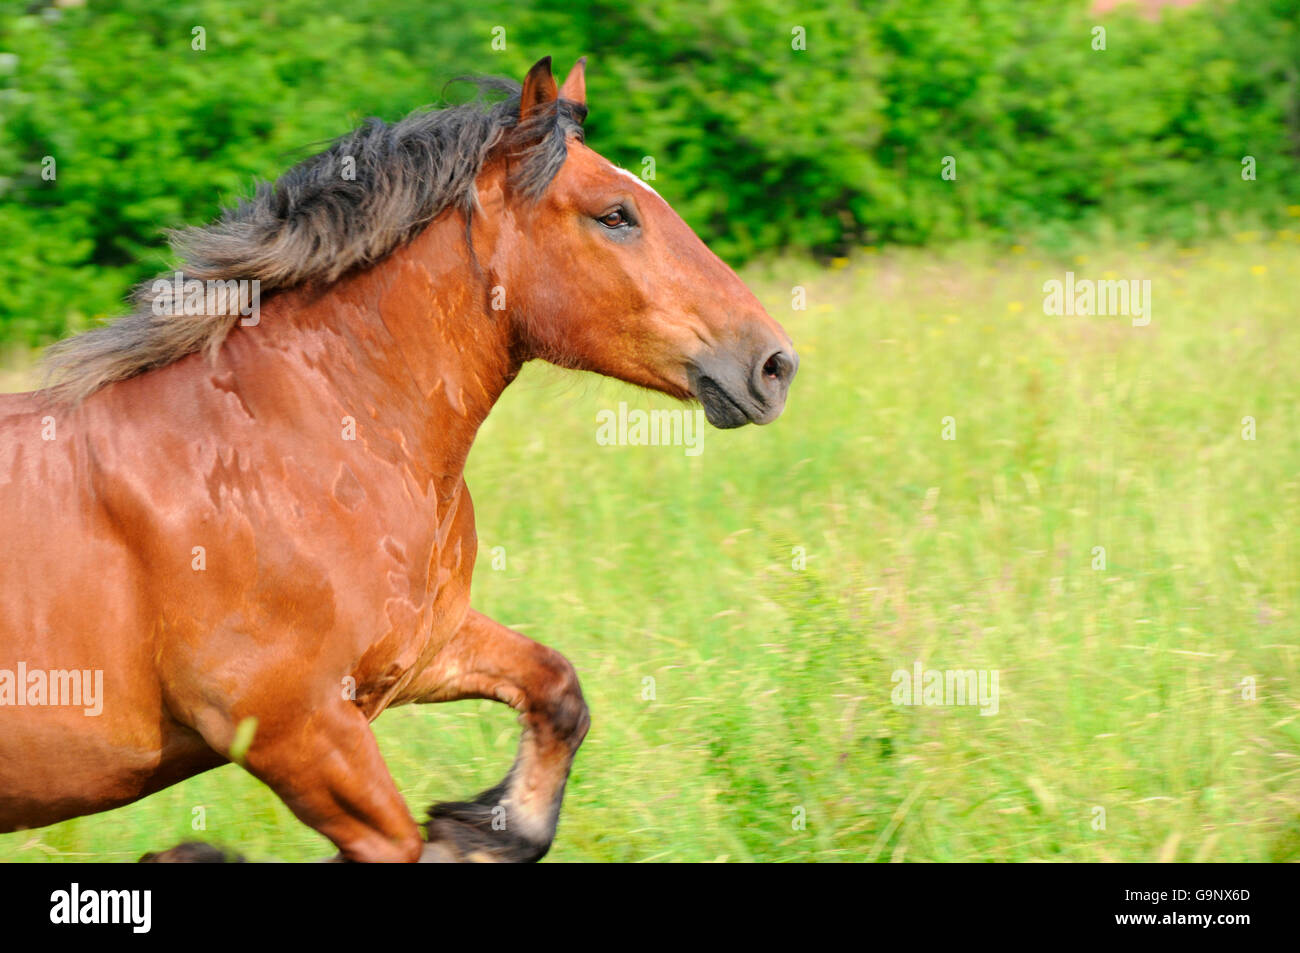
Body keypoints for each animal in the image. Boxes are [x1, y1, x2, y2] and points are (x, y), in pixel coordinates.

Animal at [0, 56, 797, 862]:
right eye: (615, 215)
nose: (774, 366)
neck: (294, 446)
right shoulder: (296, 729)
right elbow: (398, 840)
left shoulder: (424, 653)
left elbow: (559, 692)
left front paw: (476, 822)